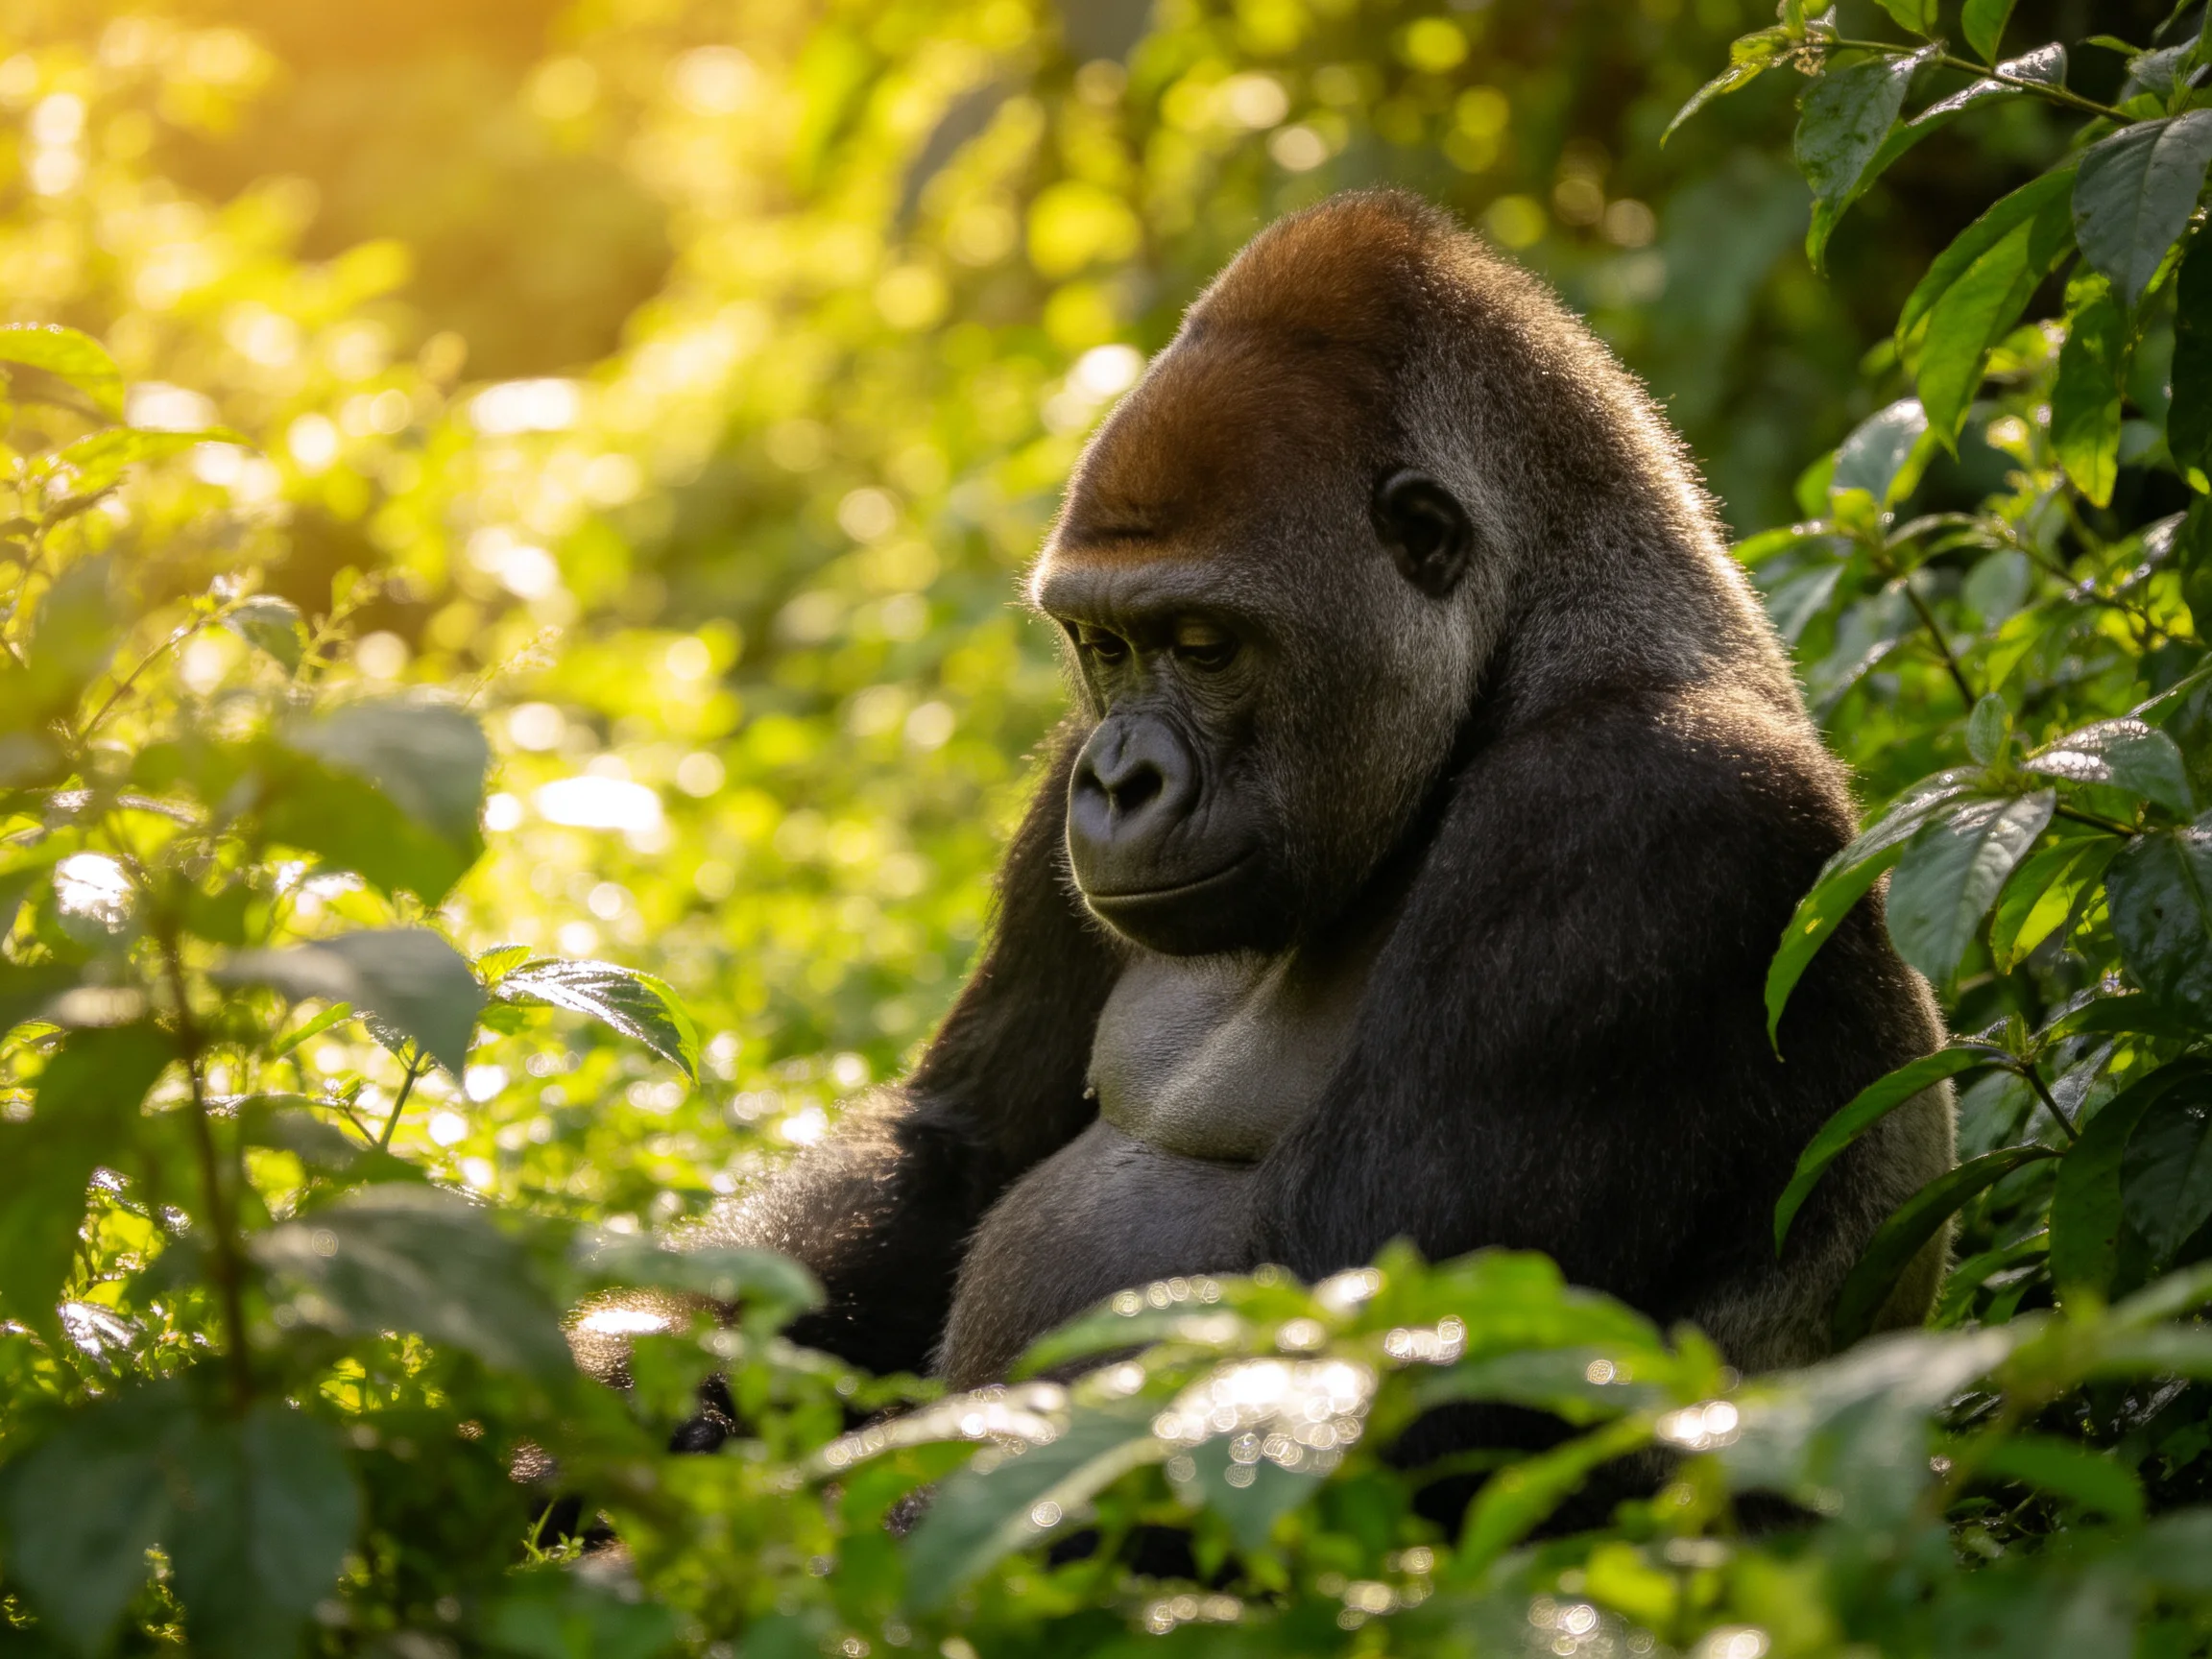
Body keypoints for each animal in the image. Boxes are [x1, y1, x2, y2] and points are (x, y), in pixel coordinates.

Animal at [684, 187, 1954, 1406]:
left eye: (1205, 646)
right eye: (1104, 646)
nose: (1120, 781)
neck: (1533, 640)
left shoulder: (1638, 810)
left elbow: (1343, 1320)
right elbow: (954, 1146)